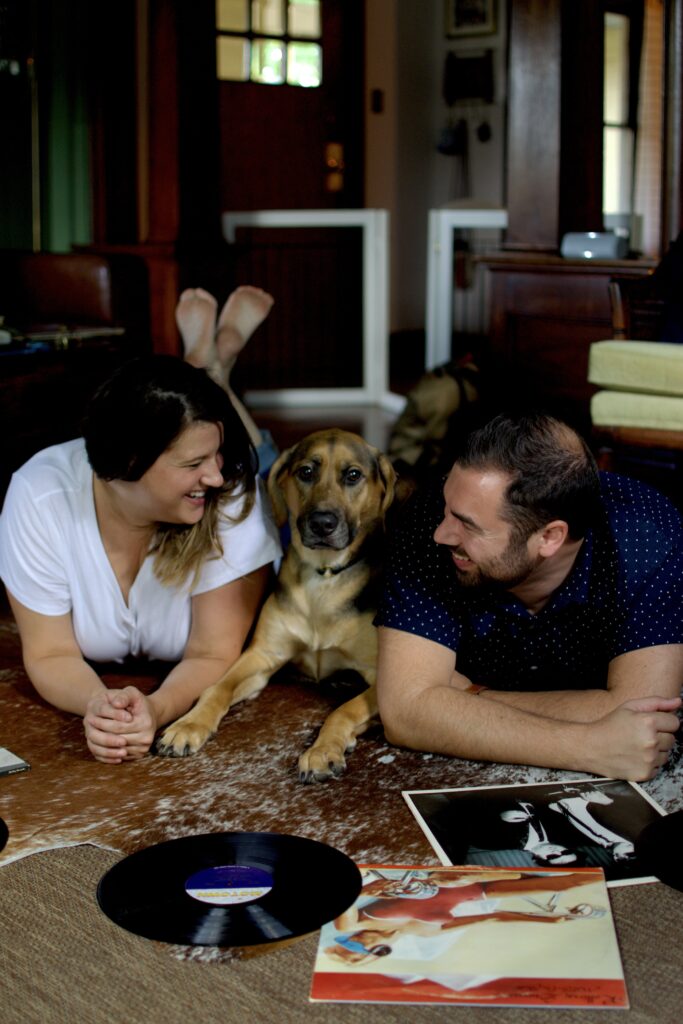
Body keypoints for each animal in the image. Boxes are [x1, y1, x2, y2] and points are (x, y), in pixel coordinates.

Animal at [156, 428, 395, 778]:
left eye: (353, 475)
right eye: (306, 472)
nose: (322, 523)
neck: (323, 575)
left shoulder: (382, 678)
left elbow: (344, 710)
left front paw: (323, 750)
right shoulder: (262, 655)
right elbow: (217, 688)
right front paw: (188, 725)